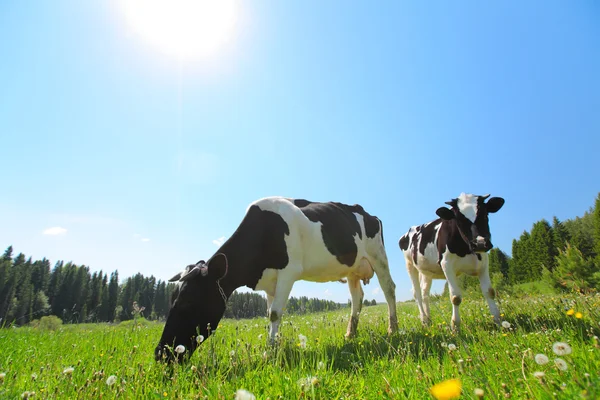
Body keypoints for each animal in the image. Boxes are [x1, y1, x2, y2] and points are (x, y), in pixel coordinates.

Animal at [156, 196, 398, 362]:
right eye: (171, 299)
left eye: (188, 302)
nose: (160, 353)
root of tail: (366, 212)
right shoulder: (269, 283)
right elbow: (269, 313)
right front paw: (276, 345)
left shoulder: (288, 273)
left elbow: (274, 314)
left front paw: (269, 352)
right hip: (352, 269)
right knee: (357, 298)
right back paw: (350, 334)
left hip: (378, 255)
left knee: (389, 289)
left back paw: (392, 330)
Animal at [400, 192, 504, 330]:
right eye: (458, 219)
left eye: (485, 214)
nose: (480, 243)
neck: (466, 250)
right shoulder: (446, 265)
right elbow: (455, 297)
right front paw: (455, 326)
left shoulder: (483, 264)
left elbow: (489, 292)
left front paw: (498, 321)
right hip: (410, 265)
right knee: (417, 293)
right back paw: (423, 320)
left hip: (426, 271)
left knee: (425, 293)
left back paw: (428, 319)